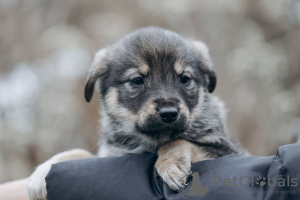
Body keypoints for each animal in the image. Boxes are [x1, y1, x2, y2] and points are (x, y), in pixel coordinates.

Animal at [27, 27, 245, 200]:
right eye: (137, 80)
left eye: (184, 79)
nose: (169, 113)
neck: (147, 142)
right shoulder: (110, 154)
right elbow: (79, 152)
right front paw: (41, 173)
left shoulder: (227, 149)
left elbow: (176, 142)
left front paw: (171, 165)